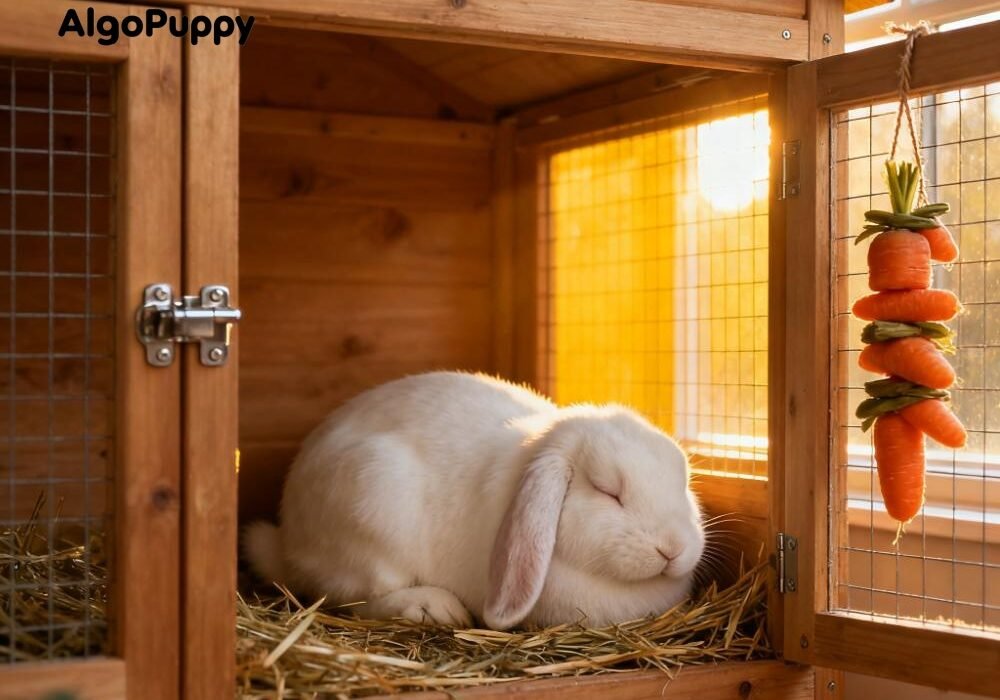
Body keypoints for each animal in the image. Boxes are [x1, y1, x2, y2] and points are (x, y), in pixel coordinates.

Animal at [244, 371, 705, 630]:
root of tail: (287, 540)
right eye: (609, 491)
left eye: (682, 481)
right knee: (355, 598)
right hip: (373, 502)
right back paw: (435, 608)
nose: (673, 548)